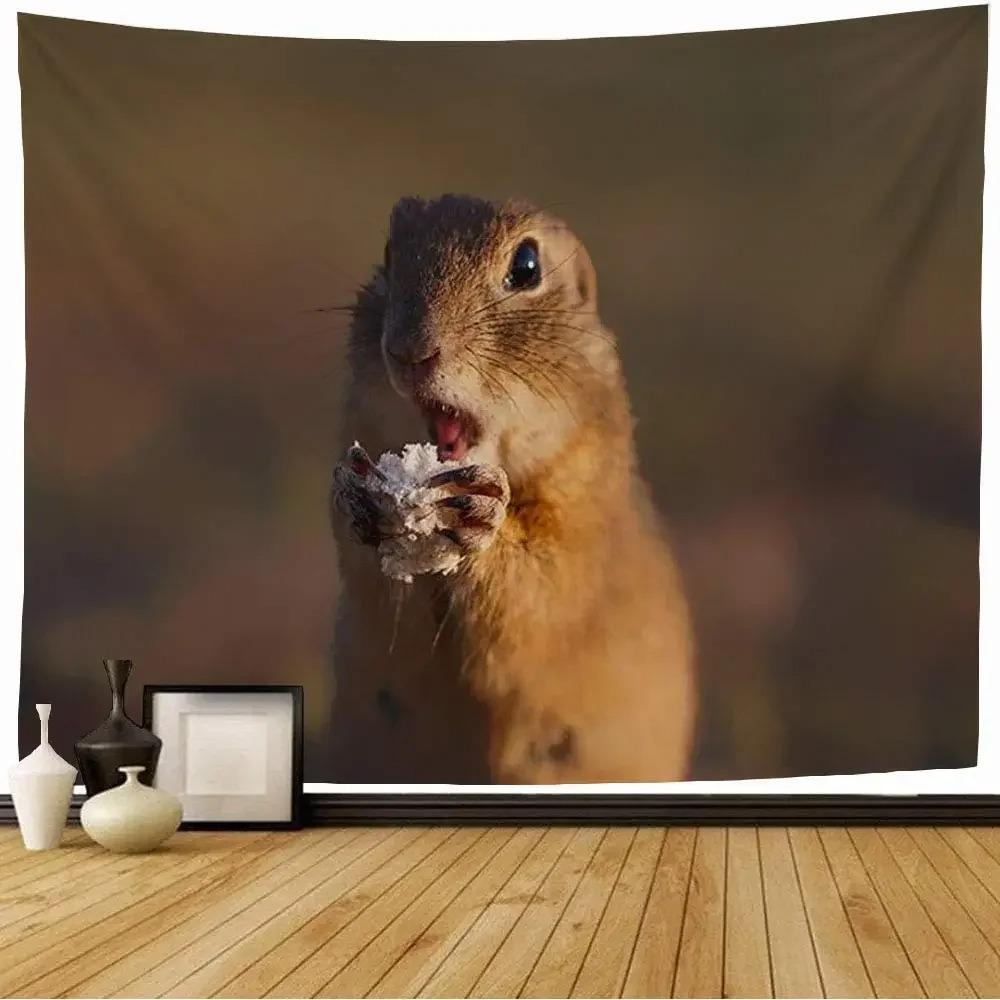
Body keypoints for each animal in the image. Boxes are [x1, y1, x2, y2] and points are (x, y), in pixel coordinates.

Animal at [327, 194, 696, 783]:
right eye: (388, 253)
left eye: (526, 266)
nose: (409, 352)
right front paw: (354, 496)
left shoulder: (584, 526)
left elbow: (542, 590)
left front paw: (482, 515)